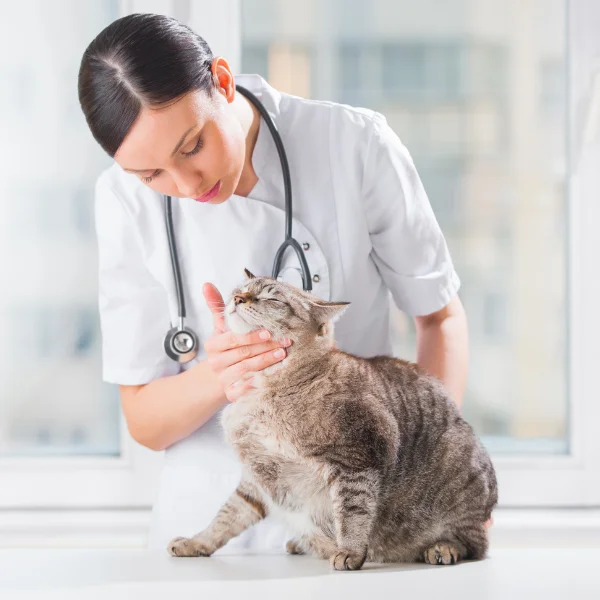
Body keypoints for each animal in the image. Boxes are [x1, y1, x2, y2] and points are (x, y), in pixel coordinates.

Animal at [169, 270, 496, 568]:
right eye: (241, 290)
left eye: (272, 299)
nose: (238, 299)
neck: (261, 390)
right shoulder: (256, 479)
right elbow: (225, 518)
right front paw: (195, 542)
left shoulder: (358, 455)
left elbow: (353, 513)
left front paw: (349, 551)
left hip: (459, 478)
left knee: (475, 544)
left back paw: (442, 548)